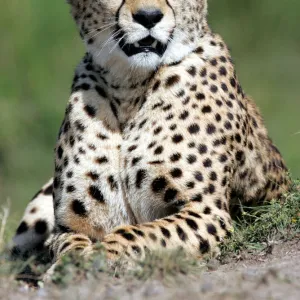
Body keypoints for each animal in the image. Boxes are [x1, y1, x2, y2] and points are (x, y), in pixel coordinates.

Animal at [12, 0, 290, 272]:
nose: (148, 16)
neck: (129, 87)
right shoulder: (69, 225)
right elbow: (67, 245)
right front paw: (71, 264)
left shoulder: (206, 211)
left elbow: (142, 232)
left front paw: (103, 256)